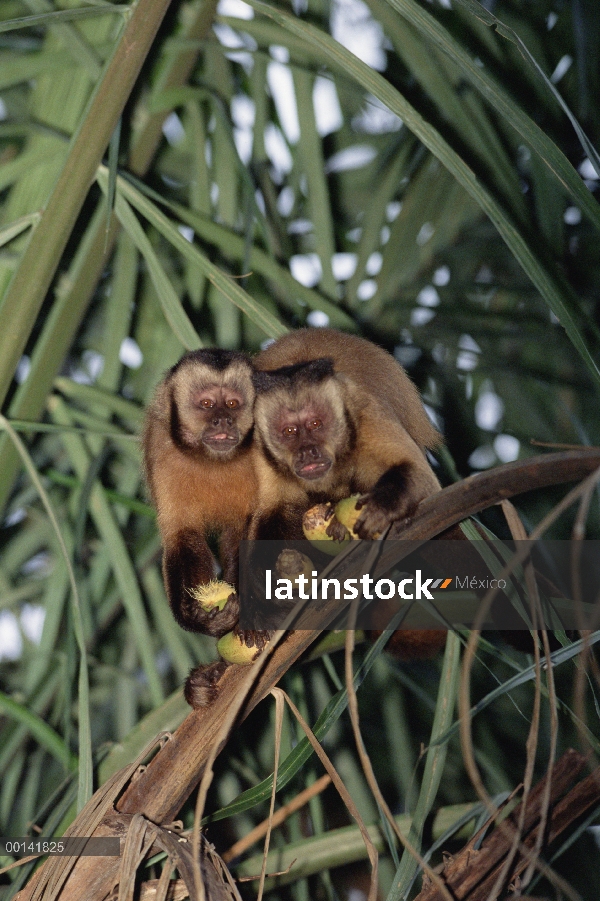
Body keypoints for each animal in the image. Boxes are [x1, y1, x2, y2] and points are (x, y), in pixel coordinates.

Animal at [145, 348, 260, 708]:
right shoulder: (161, 449)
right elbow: (183, 536)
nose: (223, 420)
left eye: (233, 404)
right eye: (208, 404)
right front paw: (198, 617)